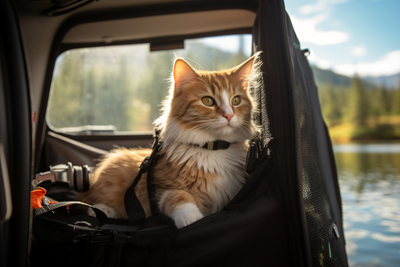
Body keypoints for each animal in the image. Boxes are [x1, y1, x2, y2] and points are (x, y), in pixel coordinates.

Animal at [81, 53, 262, 229]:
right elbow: (179, 197)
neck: (214, 148)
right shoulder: (162, 190)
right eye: (208, 101)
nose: (229, 115)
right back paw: (104, 210)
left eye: (236, 100)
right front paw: (192, 218)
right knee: (89, 200)